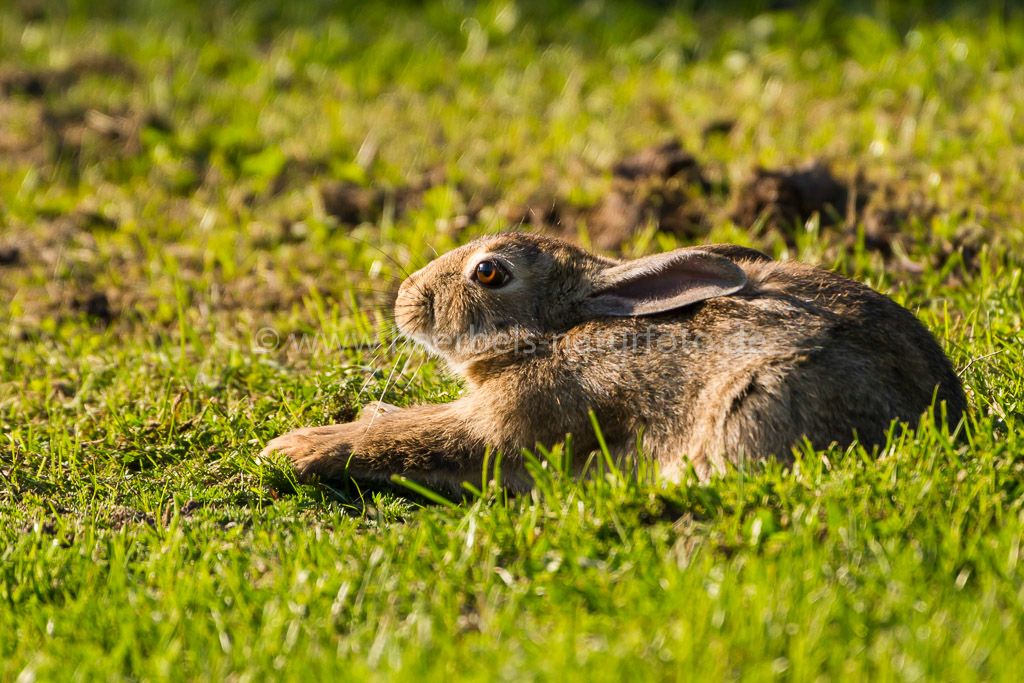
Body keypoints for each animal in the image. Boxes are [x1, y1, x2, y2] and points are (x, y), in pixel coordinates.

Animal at [260, 232, 962, 493]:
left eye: (489, 272)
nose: (406, 299)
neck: (553, 332)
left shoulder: (520, 419)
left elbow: (421, 438)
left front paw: (292, 449)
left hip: (760, 400)